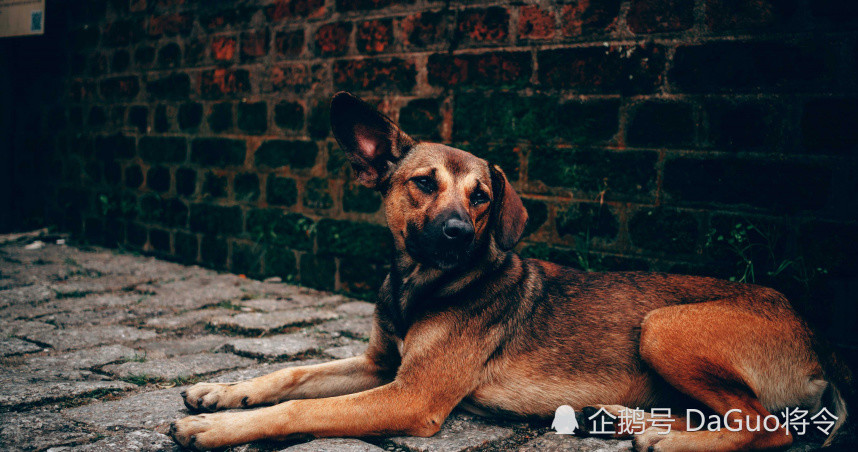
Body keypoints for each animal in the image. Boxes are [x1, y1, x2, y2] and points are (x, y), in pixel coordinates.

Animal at [171, 93, 844, 450]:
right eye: (423, 184)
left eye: (482, 197)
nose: (458, 234)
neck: (420, 286)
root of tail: (817, 346)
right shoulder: (378, 365)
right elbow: (292, 374)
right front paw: (223, 391)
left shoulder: (411, 395)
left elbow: (299, 410)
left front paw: (221, 425)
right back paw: (626, 420)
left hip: (664, 325)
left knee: (769, 426)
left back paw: (671, 438)